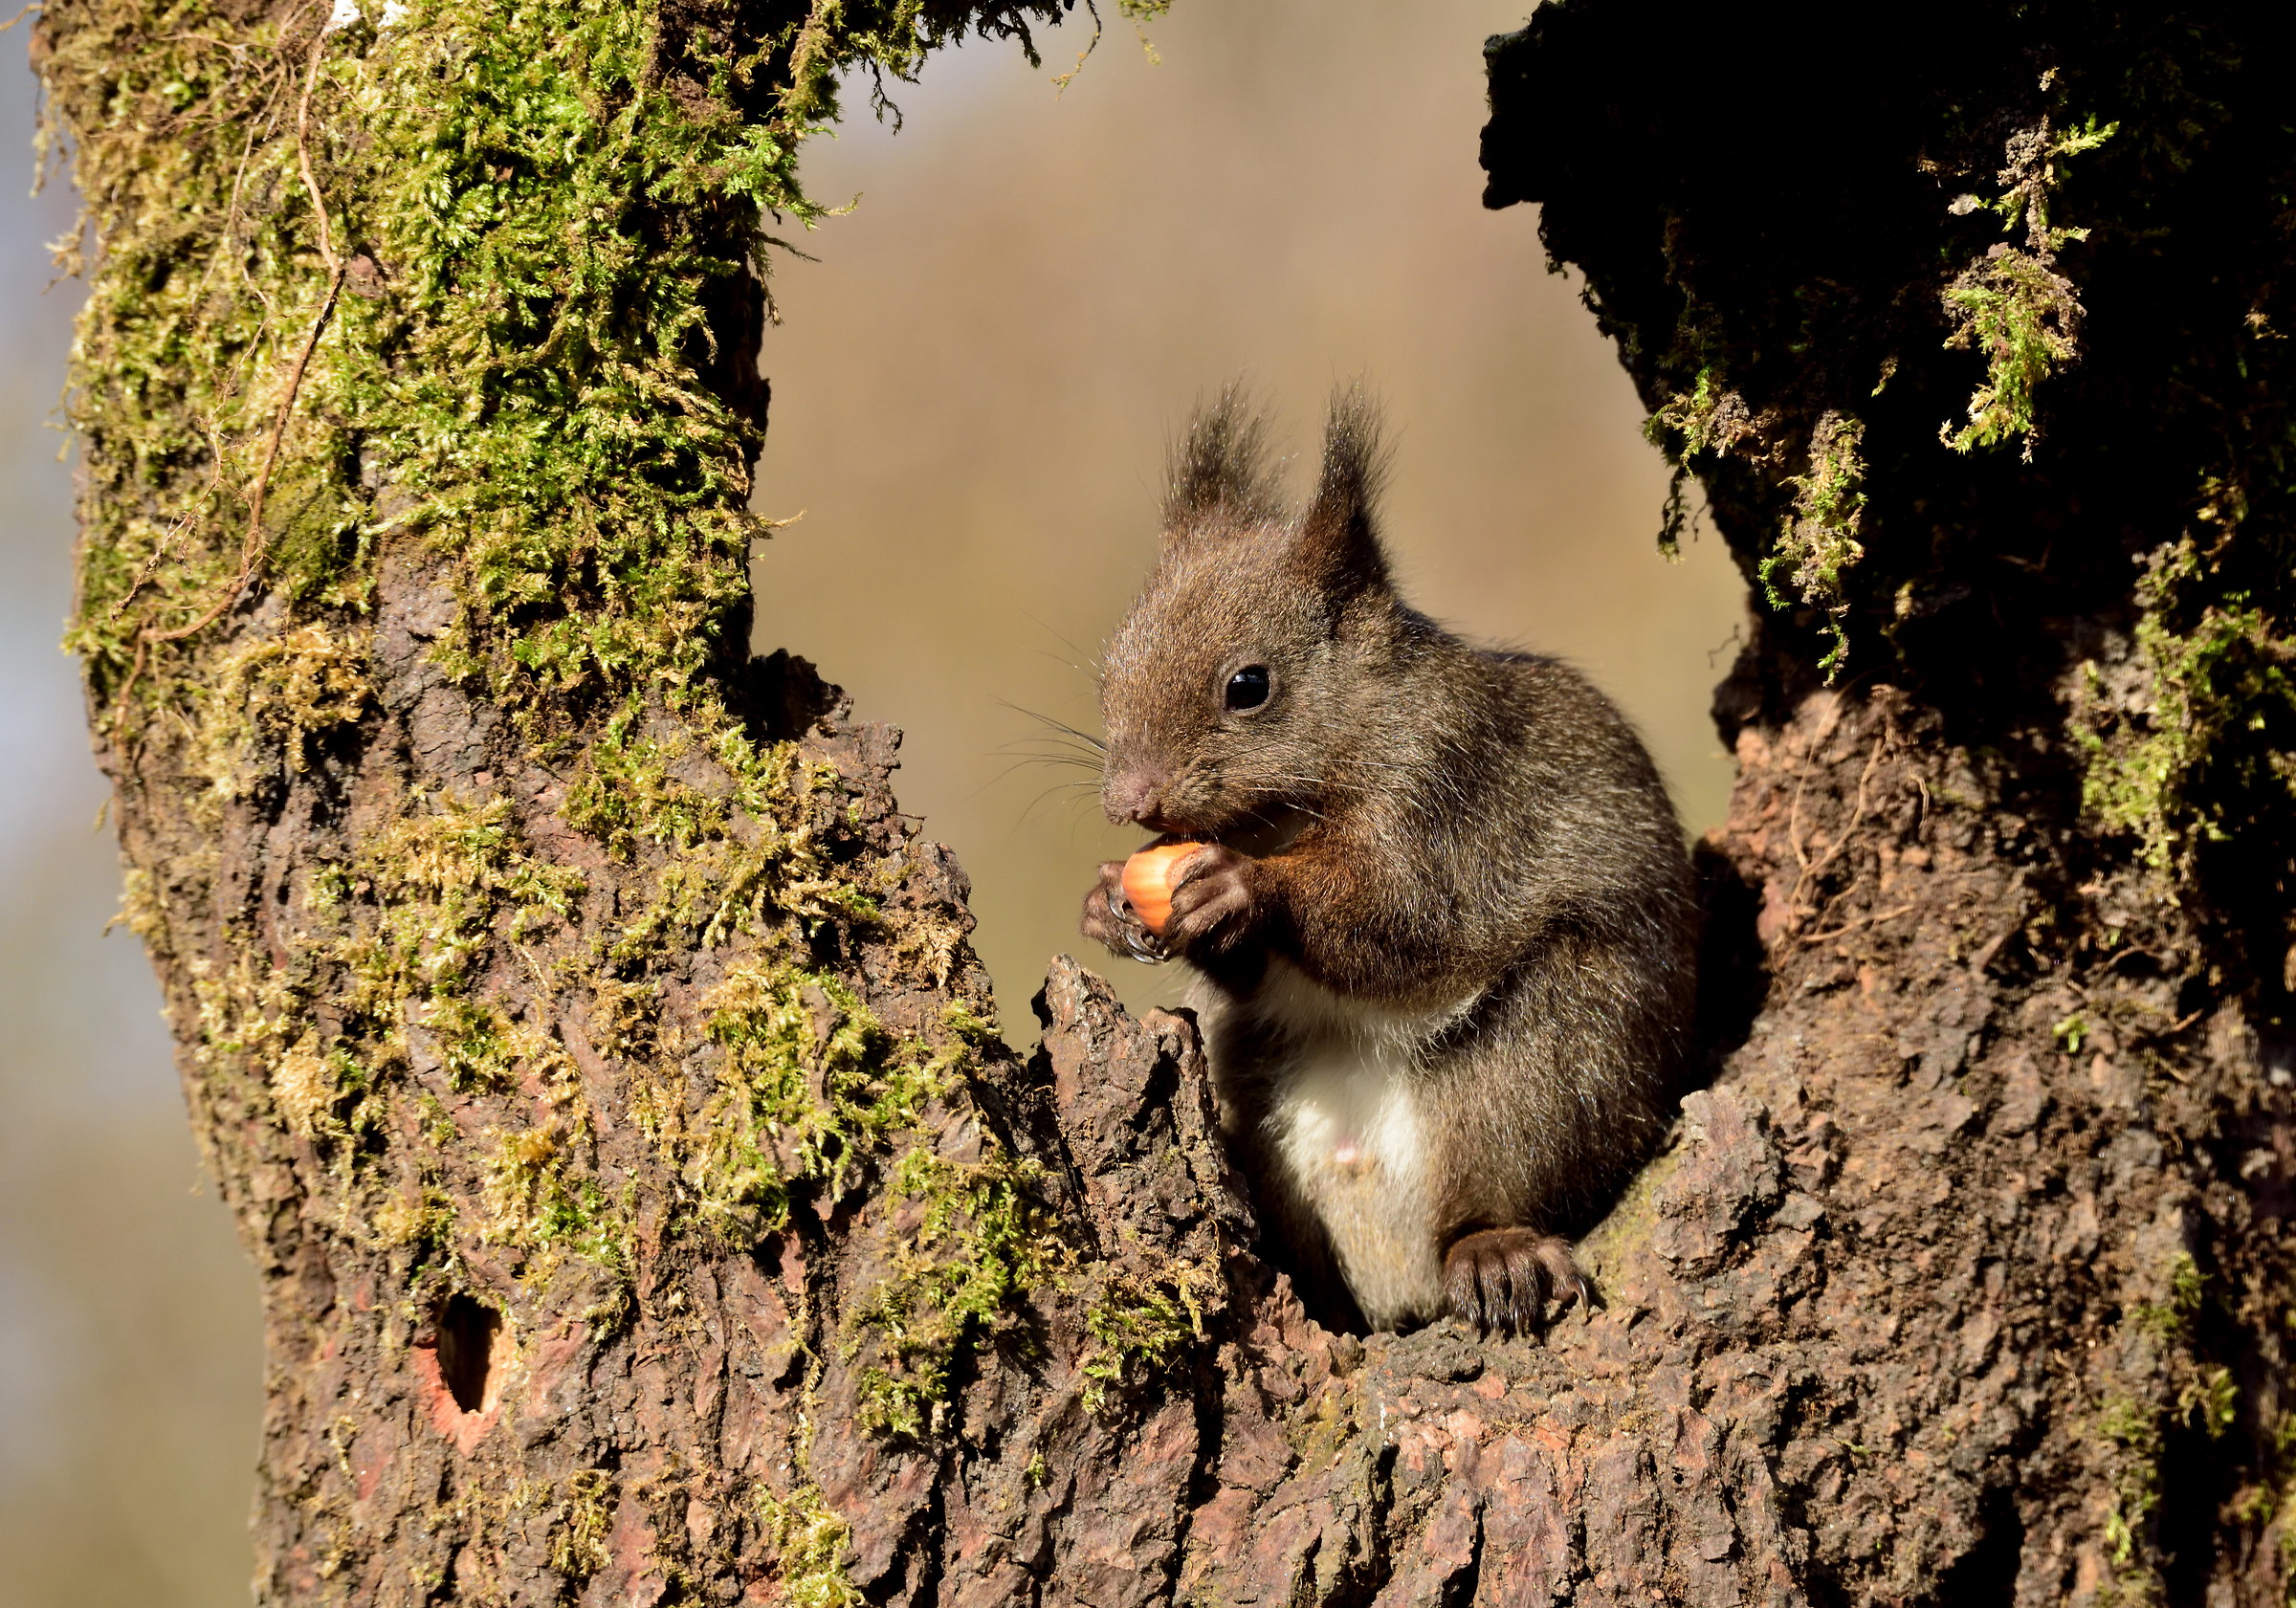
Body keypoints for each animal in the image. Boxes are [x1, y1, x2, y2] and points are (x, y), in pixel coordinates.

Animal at [1079, 386, 1701, 1339]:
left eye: (1249, 686)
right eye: (1112, 664)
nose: (1128, 800)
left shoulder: (1453, 789)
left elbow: (1406, 917)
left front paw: (1240, 886)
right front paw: (1108, 900)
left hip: (1556, 1058)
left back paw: (1493, 1249)